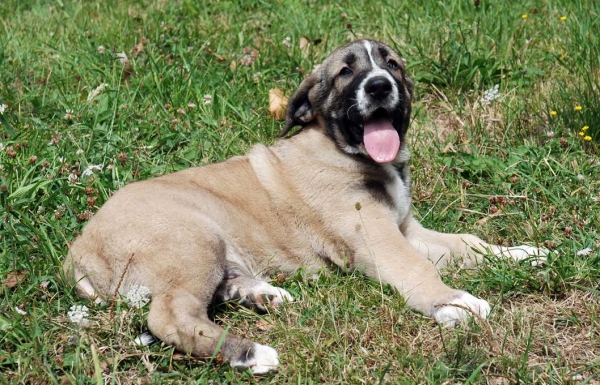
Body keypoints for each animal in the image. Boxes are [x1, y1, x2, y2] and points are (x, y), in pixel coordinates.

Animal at [63, 39, 548, 372]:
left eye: (391, 64)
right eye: (345, 73)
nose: (379, 86)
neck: (345, 150)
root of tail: (78, 252)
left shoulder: (406, 228)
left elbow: (469, 241)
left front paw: (523, 254)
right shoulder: (381, 239)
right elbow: (417, 269)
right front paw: (454, 301)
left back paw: (262, 294)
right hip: (191, 238)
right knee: (170, 314)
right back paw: (249, 352)